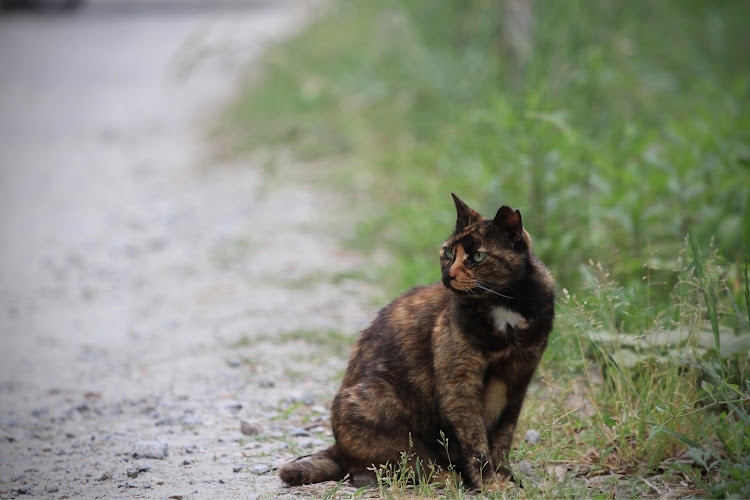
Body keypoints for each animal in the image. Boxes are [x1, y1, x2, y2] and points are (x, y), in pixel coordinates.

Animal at [280, 193, 556, 490]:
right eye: (448, 253)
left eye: (478, 256)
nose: (448, 275)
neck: (504, 306)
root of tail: (337, 448)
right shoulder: (459, 385)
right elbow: (475, 440)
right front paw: (489, 484)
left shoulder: (518, 380)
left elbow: (503, 438)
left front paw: (504, 477)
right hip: (379, 402)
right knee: (394, 466)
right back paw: (447, 478)